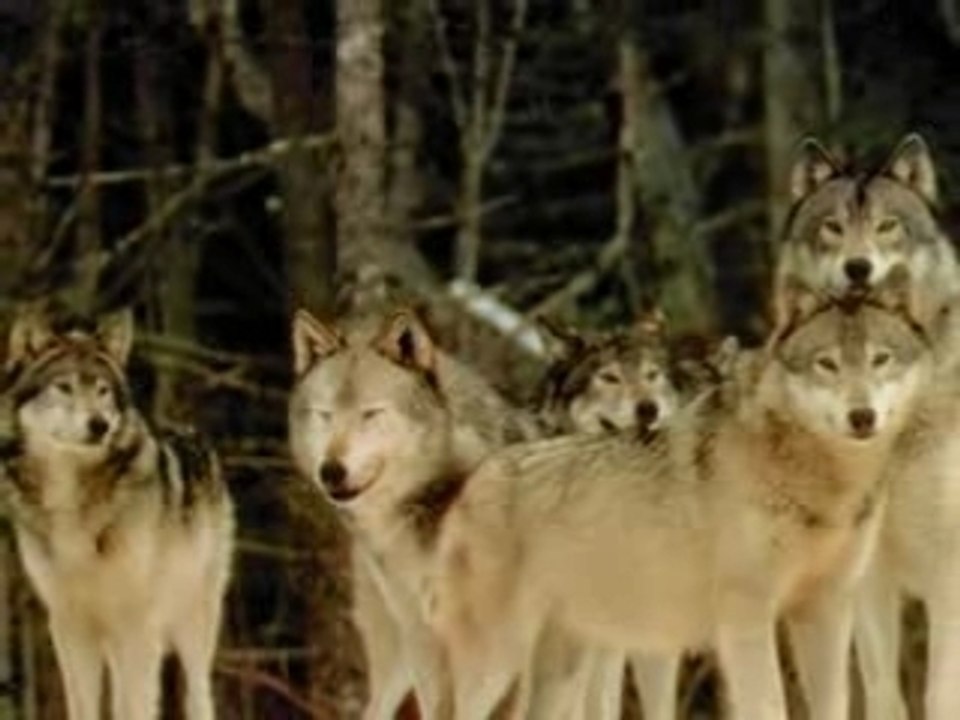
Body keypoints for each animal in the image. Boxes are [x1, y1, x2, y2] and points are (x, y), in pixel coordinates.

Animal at [0, 303, 234, 720]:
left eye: (102, 390)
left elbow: (135, 705)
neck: (71, 499)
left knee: (198, 694)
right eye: (64, 386)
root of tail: (193, 432)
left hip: (193, 619)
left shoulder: (136, 621)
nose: (100, 424)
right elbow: (84, 706)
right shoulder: (69, 622)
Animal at [423, 271, 932, 720]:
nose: (862, 416)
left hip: (566, 666)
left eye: (880, 359)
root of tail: (479, 475)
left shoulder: (826, 610)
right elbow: (768, 706)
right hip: (499, 661)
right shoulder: (744, 615)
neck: (818, 480)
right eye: (827, 363)